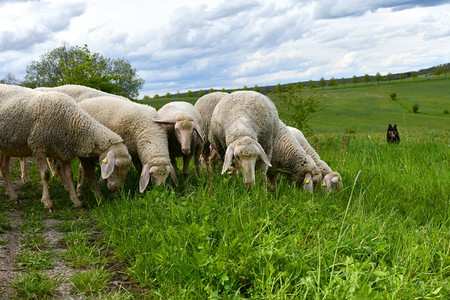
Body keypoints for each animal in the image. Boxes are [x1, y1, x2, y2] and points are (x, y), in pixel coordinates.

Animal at [0, 84, 131, 211]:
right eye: (115, 166)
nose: (116, 189)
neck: (71, 121)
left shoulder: (63, 150)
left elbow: (69, 175)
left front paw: (76, 201)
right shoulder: (39, 145)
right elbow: (45, 175)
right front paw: (47, 203)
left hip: (6, 145)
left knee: (4, 167)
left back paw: (12, 196)